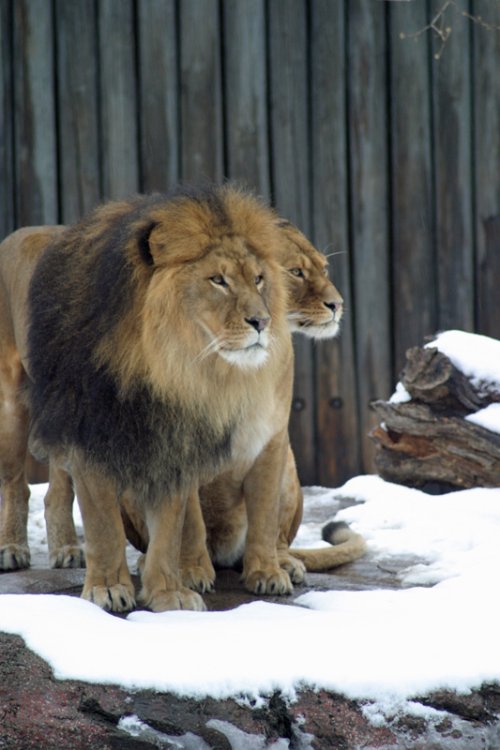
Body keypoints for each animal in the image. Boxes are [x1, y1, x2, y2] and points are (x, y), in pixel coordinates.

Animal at [0, 185, 294, 612]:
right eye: (217, 280)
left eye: (258, 279)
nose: (262, 322)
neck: (167, 366)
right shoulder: (92, 435)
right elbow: (104, 524)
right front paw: (107, 589)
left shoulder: (170, 438)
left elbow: (170, 528)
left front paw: (168, 594)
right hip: (12, 407)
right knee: (15, 484)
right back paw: (12, 549)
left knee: (56, 489)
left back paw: (67, 550)